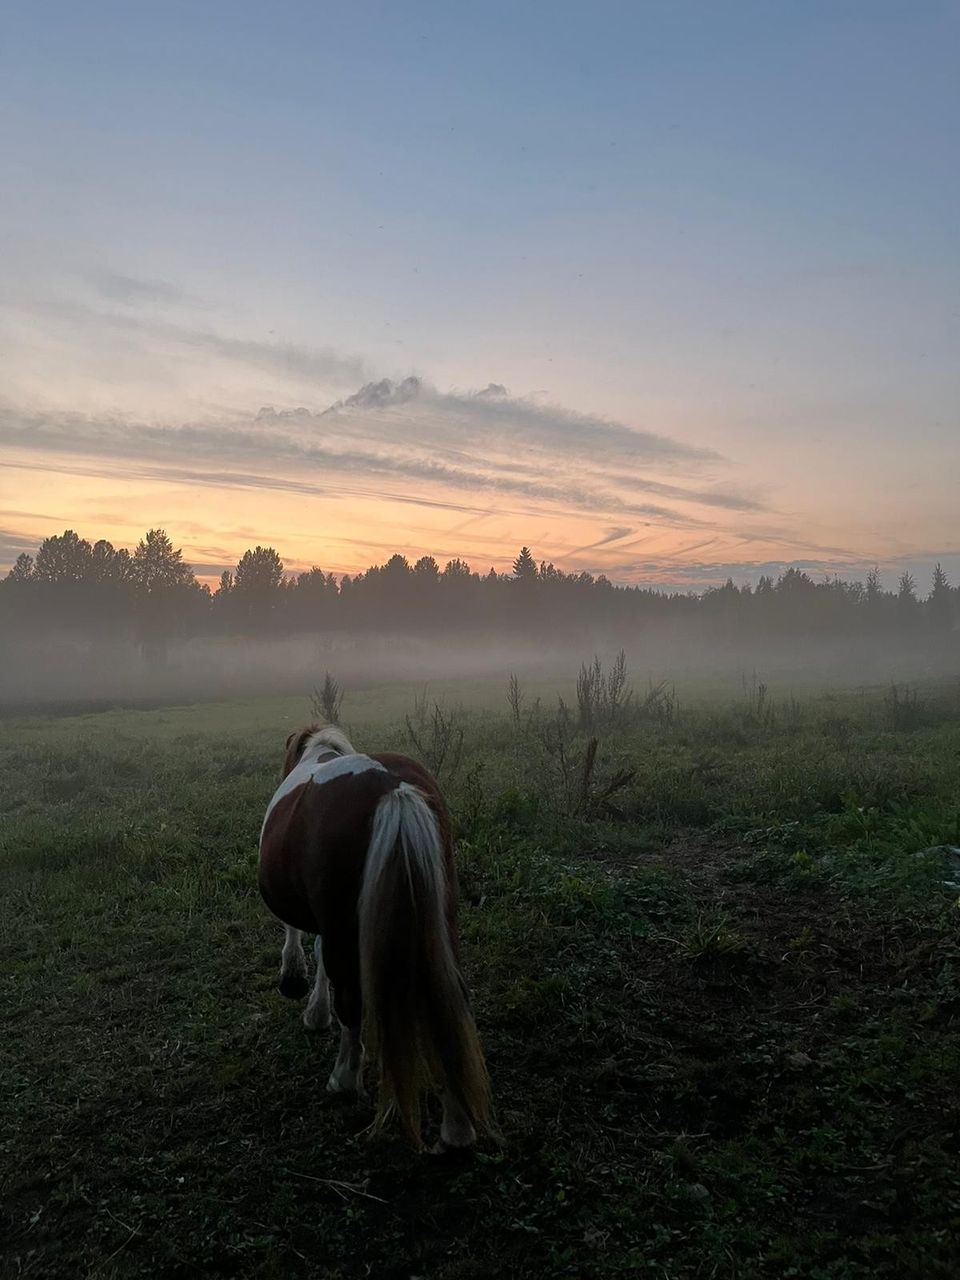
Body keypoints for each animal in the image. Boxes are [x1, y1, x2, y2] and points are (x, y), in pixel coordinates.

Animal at [257, 727, 496, 1157]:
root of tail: (394, 789)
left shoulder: (325, 920)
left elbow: (305, 944)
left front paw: (301, 990)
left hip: (344, 922)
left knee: (351, 1001)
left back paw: (344, 1080)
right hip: (440, 919)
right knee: (446, 998)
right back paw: (457, 1127)